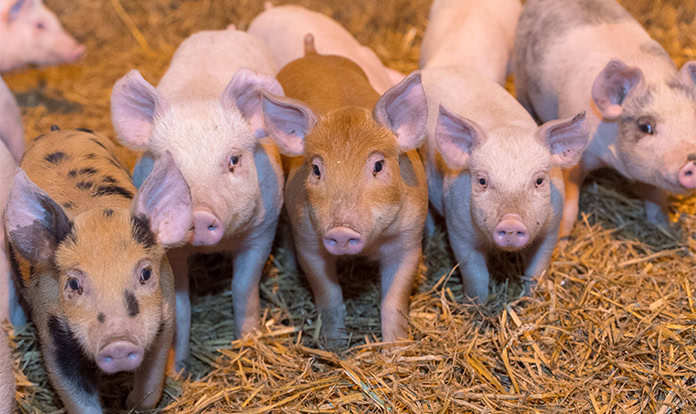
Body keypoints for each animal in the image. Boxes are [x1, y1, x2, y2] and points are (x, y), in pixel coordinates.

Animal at [4, 128, 192, 413]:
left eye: (146, 273)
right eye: (73, 283)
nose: (118, 343)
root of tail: (58, 130)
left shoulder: (165, 317)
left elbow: (150, 388)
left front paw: (129, 403)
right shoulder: (52, 333)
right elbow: (77, 397)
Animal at [110, 28, 284, 372]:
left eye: (233, 160)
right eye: (168, 164)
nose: (200, 214)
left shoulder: (263, 229)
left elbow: (243, 288)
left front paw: (248, 342)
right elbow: (180, 305)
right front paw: (176, 371)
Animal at [261, 35, 429, 345]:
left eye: (378, 165)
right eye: (316, 169)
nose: (341, 231)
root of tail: (312, 52)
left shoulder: (410, 240)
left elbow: (394, 301)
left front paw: (395, 349)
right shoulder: (308, 241)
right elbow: (328, 295)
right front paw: (334, 344)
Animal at [421, 67, 589, 301]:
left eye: (539, 181)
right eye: (482, 181)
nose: (511, 222)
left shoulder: (551, 227)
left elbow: (537, 269)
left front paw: (533, 298)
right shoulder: (458, 229)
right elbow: (475, 274)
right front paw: (477, 302)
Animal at [514, 0, 696, 239]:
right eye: (646, 126)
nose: (692, 158)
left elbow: (655, 196)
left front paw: (664, 227)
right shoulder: (574, 154)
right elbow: (570, 200)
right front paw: (562, 239)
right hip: (520, 75)